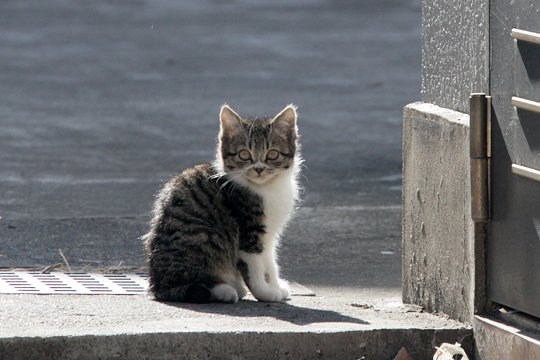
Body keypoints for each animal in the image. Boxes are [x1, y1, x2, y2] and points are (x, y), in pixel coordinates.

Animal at [143, 104, 302, 304]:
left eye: (272, 154)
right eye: (244, 154)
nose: (258, 169)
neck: (267, 188)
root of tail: (157, 285)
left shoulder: (269, 234)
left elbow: (270, 260)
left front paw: (275, 285)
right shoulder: (248, 231)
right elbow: (255, 266)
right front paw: (264, 292)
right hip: (205, 236)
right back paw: (225, 290)